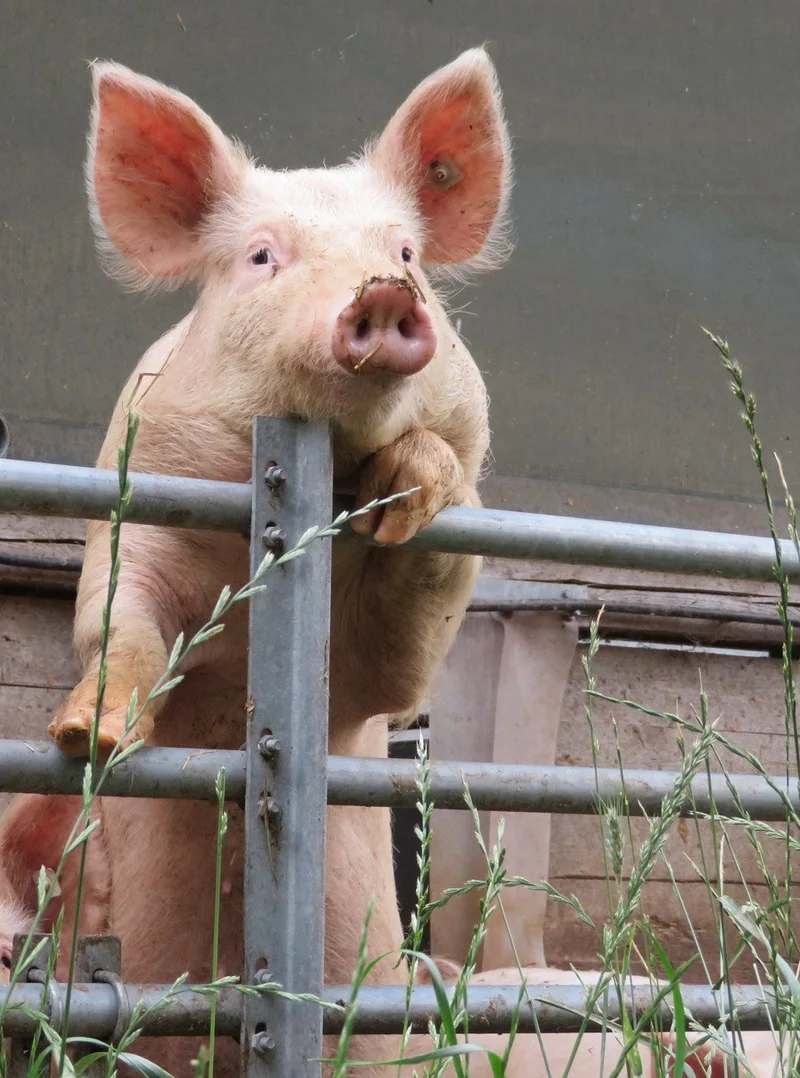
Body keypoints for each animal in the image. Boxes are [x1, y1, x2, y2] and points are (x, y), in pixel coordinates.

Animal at [46, 47, 512, 1076]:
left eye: (407, 252)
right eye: (263, 256)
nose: (383, 291)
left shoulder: (386, 674)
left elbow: (409, 648)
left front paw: (407, 489)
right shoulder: (133, 504)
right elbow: (118, 621)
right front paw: (89, 737)